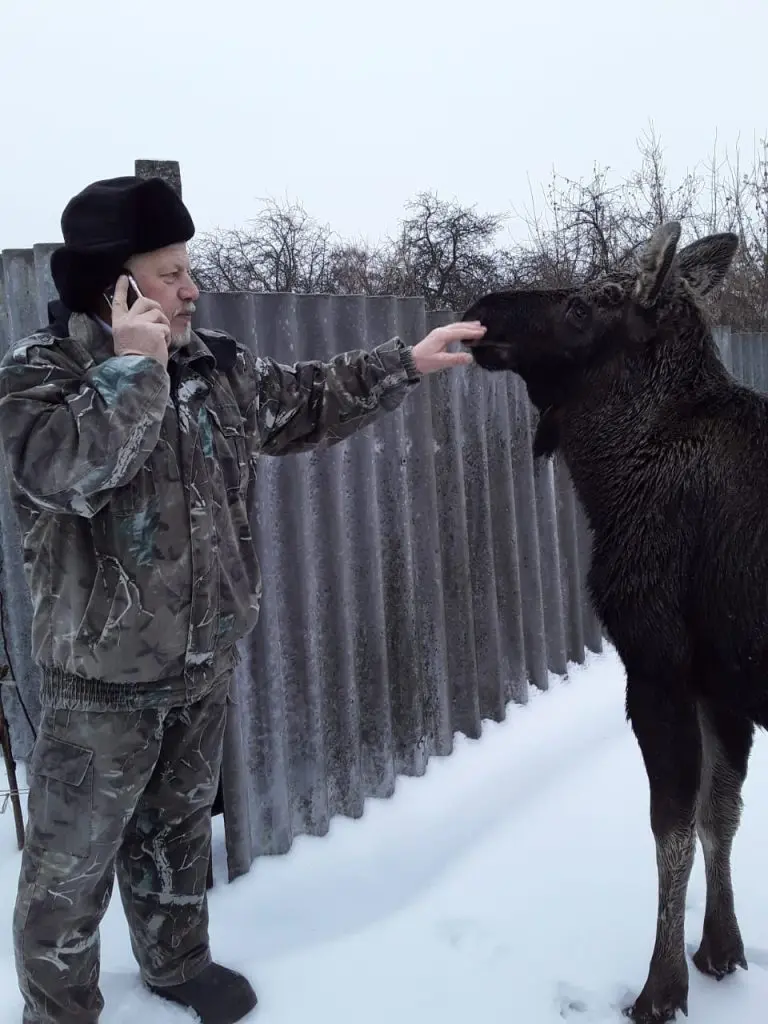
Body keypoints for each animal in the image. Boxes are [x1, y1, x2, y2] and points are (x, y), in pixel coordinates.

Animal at [462, 226, 765, 1024]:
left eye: (580, 307)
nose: (479, 308)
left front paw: (661, 988)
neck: (608, 477)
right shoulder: (719, 681)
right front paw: (721, 947)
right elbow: (720, 812)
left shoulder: (657, 664)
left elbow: (673, 831)